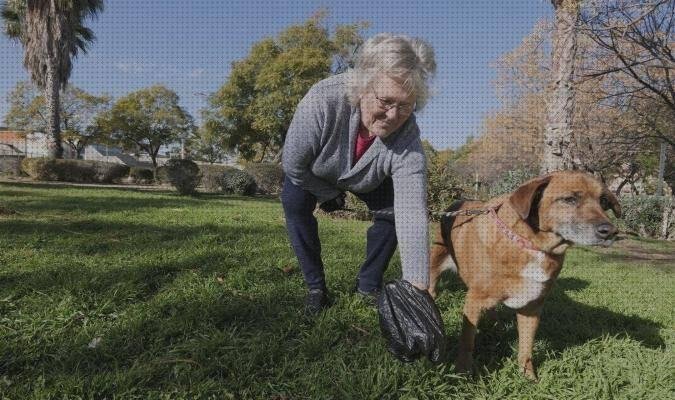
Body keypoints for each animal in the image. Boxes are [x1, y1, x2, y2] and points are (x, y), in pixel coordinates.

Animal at [430, 170, 620, 380]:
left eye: (603, 201)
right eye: (569, 199)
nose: (611, 231)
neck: (532, 245)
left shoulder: (531, 307)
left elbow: (527, 348)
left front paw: (528, 376)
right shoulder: (473, 301)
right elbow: (467, 343)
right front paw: (463, 372)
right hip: (435, 263)